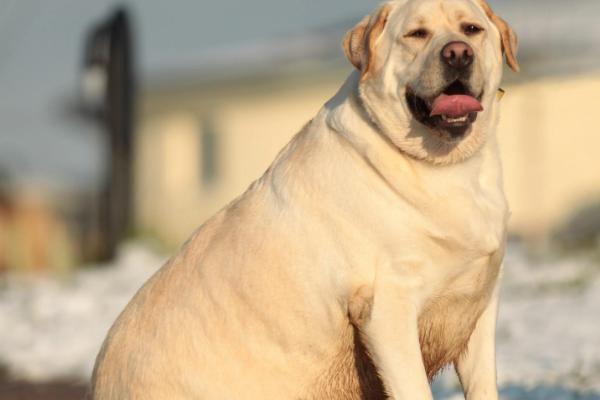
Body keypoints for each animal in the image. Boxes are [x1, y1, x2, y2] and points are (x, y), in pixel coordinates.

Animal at [92, 0, 516, 398]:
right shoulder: (387, 309)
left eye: (471, 29)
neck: (444, 167)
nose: (458, 53)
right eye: (416, 34)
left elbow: (484, 385)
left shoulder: (480, 304)